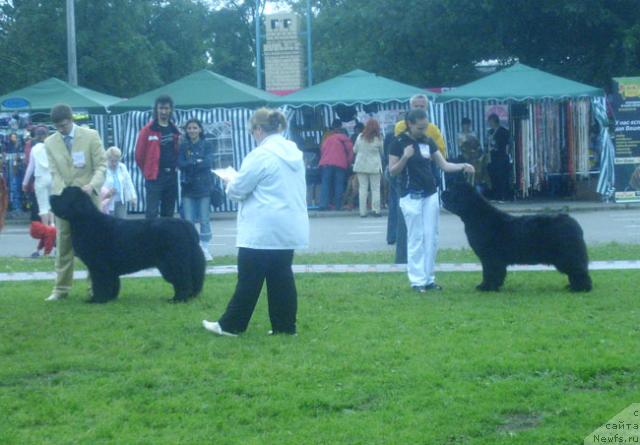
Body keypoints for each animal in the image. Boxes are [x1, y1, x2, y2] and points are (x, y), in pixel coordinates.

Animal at [50, 186, 205, 304]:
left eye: (64, 195)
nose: (51, 197)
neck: (85, 221)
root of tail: (187, 226)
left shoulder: (99, 266)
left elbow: (100, 283)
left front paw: (97, 299)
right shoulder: (108, 268)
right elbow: (112, 283)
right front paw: (110, 297)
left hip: (173, 262)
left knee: (183, 280)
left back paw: (178, 299)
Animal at [442, 180, 592, 292]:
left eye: (452, 190)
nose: (442, 192)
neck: (477, 216)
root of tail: (572, 222)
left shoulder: (490, 257)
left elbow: (490, 272)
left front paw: (486, 287)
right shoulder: (490, 258)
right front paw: (489, 286)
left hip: (567, 256)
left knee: (578, 270)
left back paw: (581, 288)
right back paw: (572, 286)